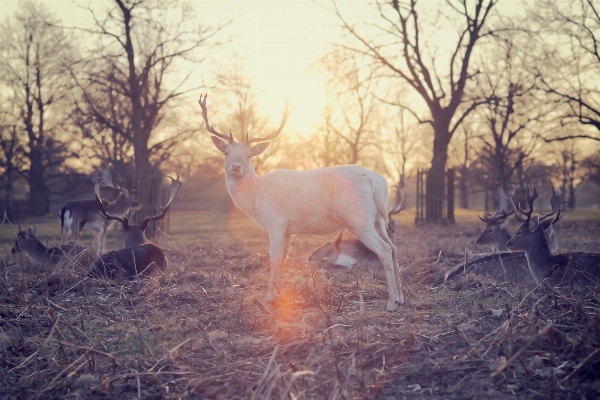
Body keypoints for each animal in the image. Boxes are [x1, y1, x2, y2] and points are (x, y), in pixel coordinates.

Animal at [198, 94, 404, 312]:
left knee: (384, 249)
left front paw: (268, 295)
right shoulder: (289, 229)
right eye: (226, 152)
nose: (236, 167)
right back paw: (401, 298)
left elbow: (274, 257)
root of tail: (376, 181)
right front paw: (278, 294)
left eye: (249, 155)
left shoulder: (276, 222)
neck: (256, 197)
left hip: (357, 218)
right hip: (378, 218)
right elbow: (283, 258)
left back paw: (391, 303)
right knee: (394, 248)